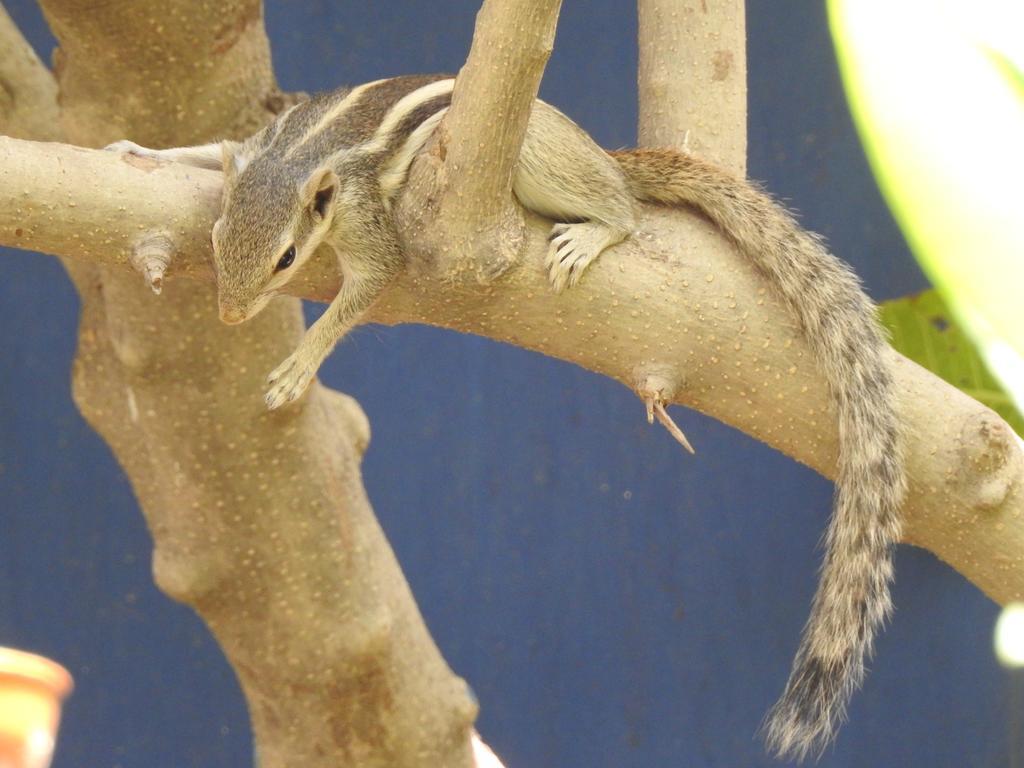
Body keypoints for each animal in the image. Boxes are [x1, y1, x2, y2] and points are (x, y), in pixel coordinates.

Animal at [103, 73, 905, 765]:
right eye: (214, 240)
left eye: (287, 258)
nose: (229, 315)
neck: (303, 150)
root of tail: (597, 149)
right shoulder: (258, 144)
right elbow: (211, 148)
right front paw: (139, 152)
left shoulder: (365, 219)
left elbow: (368, 286)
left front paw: (302, 361)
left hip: (536, 153)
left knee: (623, 206)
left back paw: (598, 226)